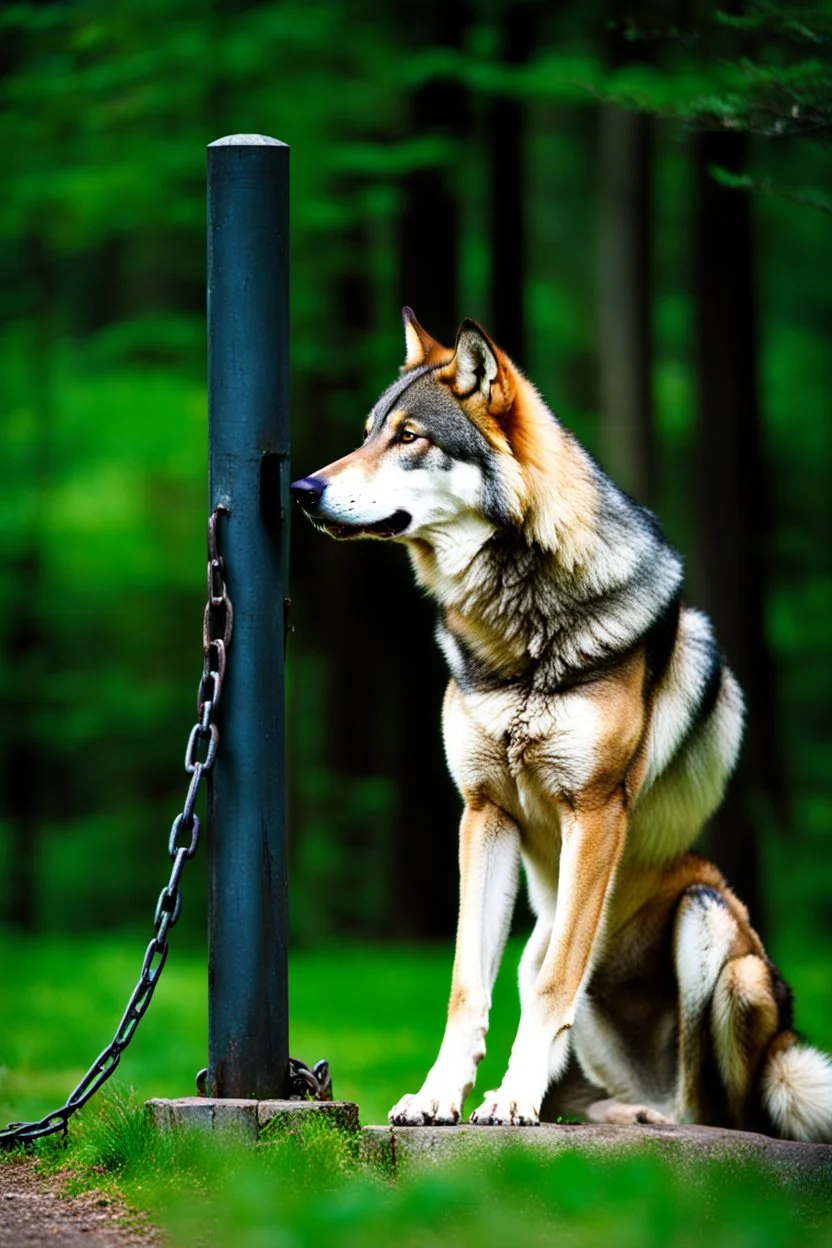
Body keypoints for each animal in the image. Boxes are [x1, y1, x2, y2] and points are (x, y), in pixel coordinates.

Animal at [291, 312, 832, 1143]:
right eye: (368, 434)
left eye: (410, 437)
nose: (303, 489)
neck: (520, 623)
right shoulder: (483, 813)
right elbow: (465, 988)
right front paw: (440, 1099)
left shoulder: (595, 812)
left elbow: (553, 989)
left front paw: (511, 1104)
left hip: (712, 930)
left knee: (712, 1107)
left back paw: (639, 1115)